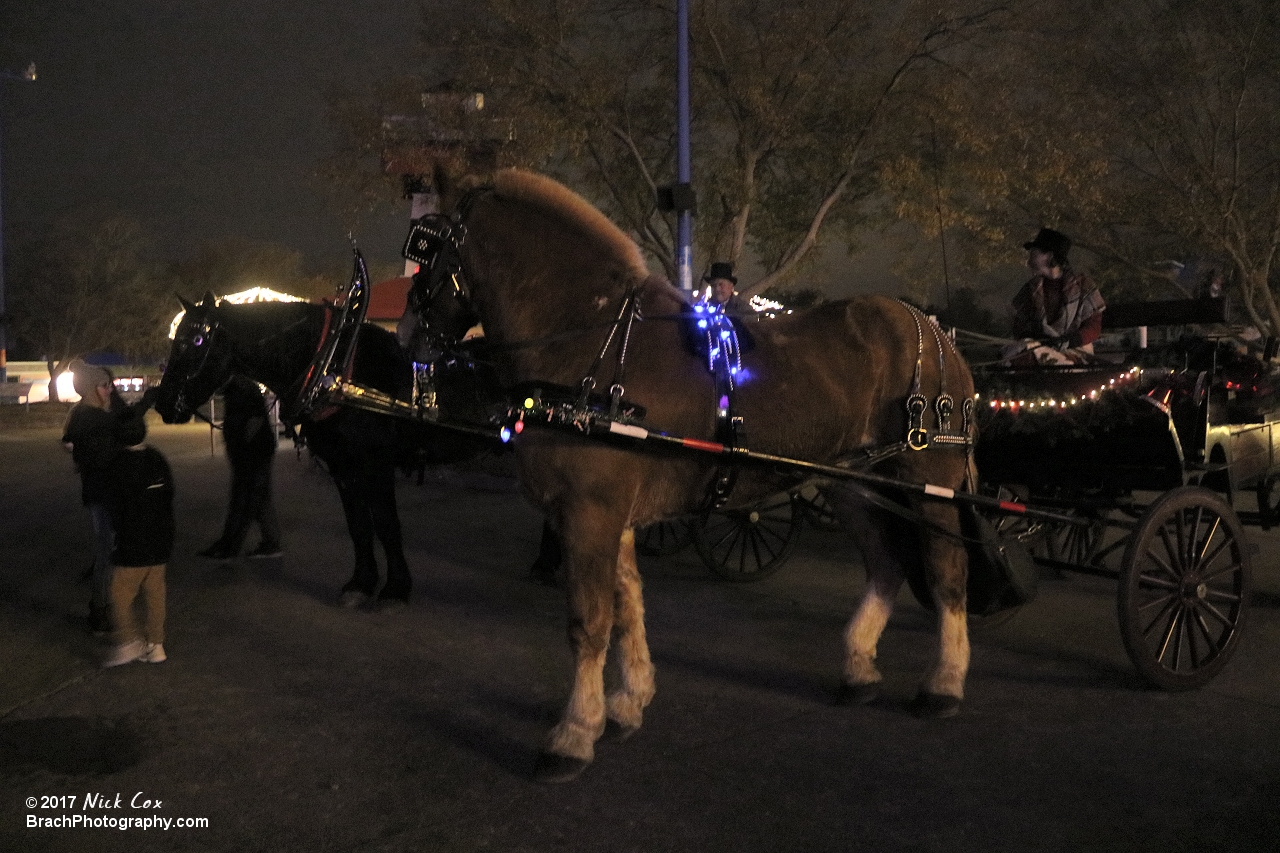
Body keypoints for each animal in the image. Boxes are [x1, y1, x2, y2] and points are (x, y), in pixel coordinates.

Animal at [154, 292, 483, 604]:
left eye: (195, 341)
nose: (162, 403)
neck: (336, 369)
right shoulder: (343, 466)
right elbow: (358, 525)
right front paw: (361, 583)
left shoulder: (376, 463)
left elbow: (387, 524)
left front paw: (396, 588)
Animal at [427, 166, 967, 778]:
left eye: (427, 245)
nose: (407, 332)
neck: (591, 339)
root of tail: (933, 330)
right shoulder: (614, 516)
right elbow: (628, 606)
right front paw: (627, 703)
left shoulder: (589, 511)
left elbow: (589, 622)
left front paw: (574, 732)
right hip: (852, 483)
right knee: (886, 562)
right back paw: (858, 668)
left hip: (933, 482)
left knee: (947, 572)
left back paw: (944, 684)